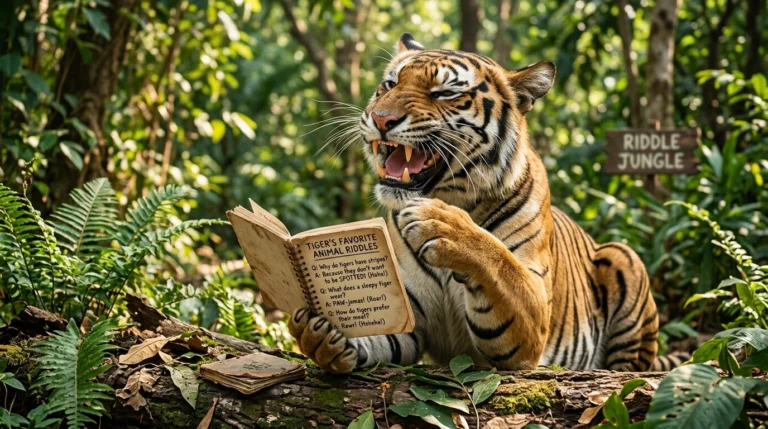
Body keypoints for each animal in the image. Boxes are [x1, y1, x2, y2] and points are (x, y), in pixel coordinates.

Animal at [288, 33, 682, 373]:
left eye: (445, 93)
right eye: (390, 84)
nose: (382, 119)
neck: (449, 195)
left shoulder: (531, 317)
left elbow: (500, 263)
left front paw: (444, 224)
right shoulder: (407, 315)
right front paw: (321, 332)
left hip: (623, 259)